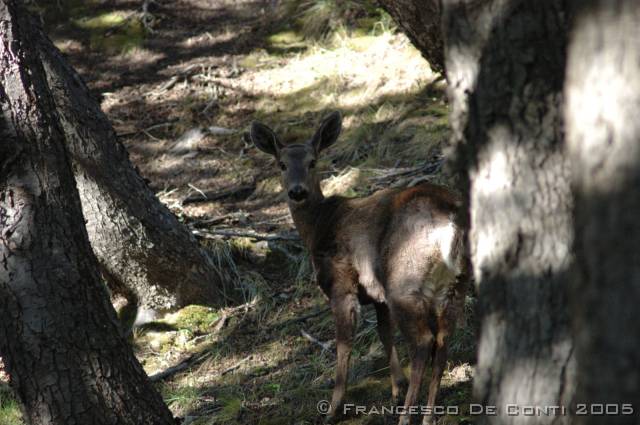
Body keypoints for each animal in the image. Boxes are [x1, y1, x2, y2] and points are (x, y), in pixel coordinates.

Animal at [251, 111, 470, 422]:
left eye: (313, 161)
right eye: (281, 164)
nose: (297, 192)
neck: (319, 226)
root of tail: (451, 221)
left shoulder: (341, 282)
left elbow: (343, 345)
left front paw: (334, 408)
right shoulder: (377, 295)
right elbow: (383, 332)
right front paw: (396, 387)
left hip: (404, 282)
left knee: (423, 342)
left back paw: (407, 416)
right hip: (455, 285)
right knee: (442, 340)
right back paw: (428, 415)